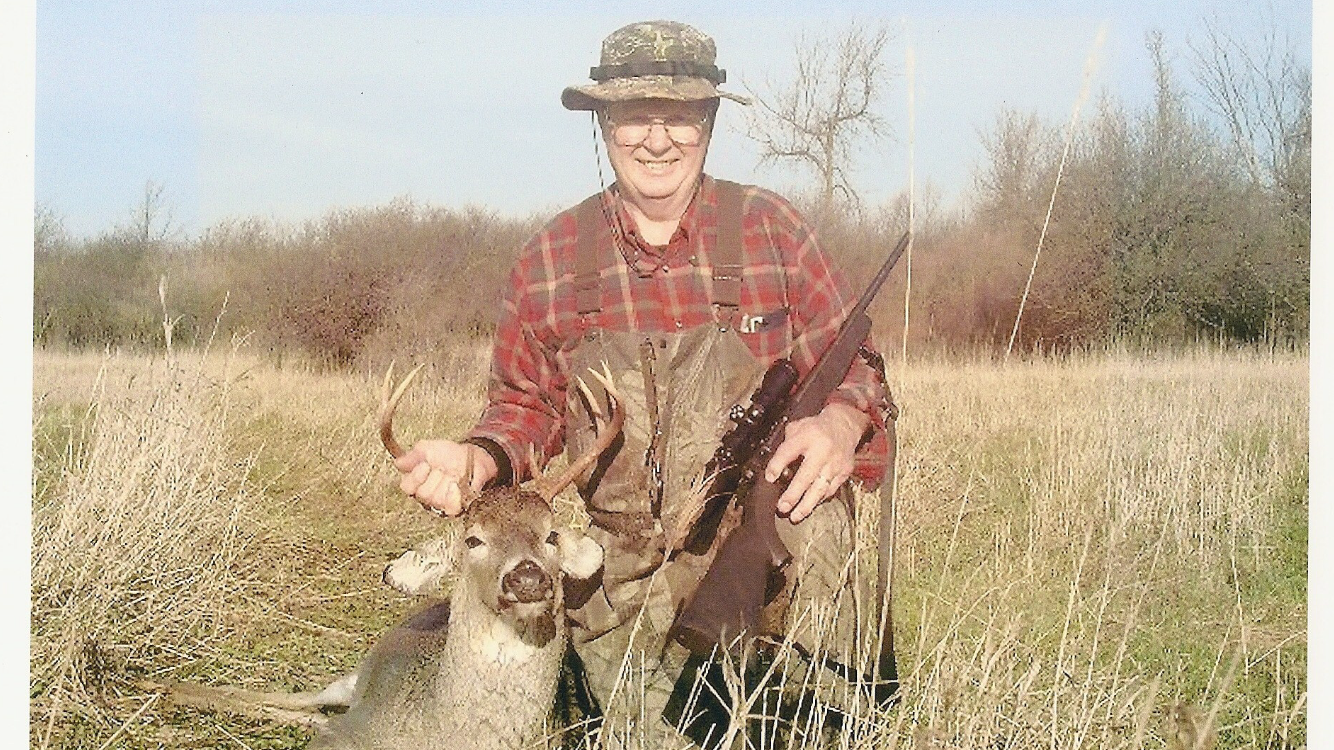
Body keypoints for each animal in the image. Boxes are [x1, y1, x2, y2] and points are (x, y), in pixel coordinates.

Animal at [162, 363, 623, 750]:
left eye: (551, 536)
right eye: (473, 539)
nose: (527, 577)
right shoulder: (351, 731)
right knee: (304, 702)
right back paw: (174, 688)